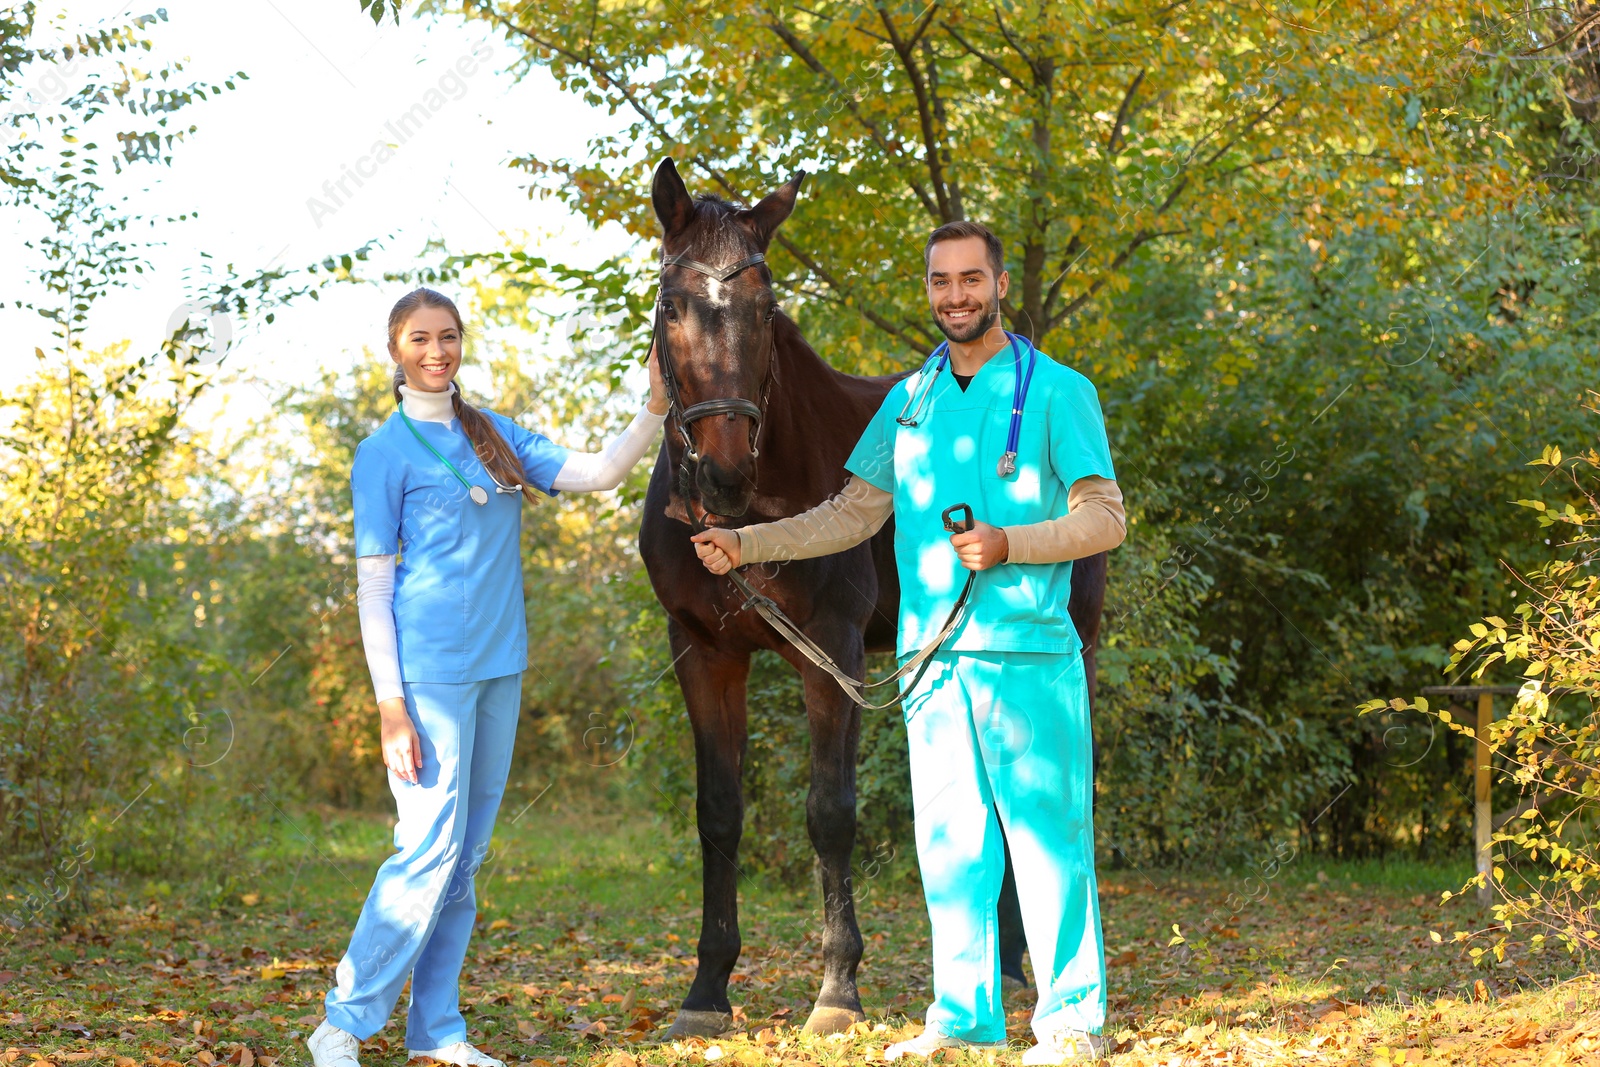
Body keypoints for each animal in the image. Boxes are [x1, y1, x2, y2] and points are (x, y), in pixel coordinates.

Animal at [636, 154, 1113, 1036]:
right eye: (671, 303)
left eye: (765, 307)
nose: (724, 473)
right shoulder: (703, 652)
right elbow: (718, 812)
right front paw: (707, 989)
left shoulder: (834, 654)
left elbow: (830, 810)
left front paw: (836, 989)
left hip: (1077, 646)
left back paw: (1024, 967)